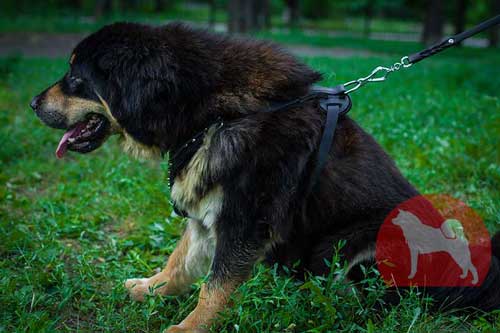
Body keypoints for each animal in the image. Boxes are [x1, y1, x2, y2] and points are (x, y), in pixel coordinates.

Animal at [30, 22, 500, 330]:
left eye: (75, 78)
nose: (33, 103)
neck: (214, 114)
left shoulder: (246, 219)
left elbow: (214, 288)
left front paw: (186, 328)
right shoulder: (209, 212)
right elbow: (180, 261)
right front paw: (152, 289)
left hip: (368, 240)